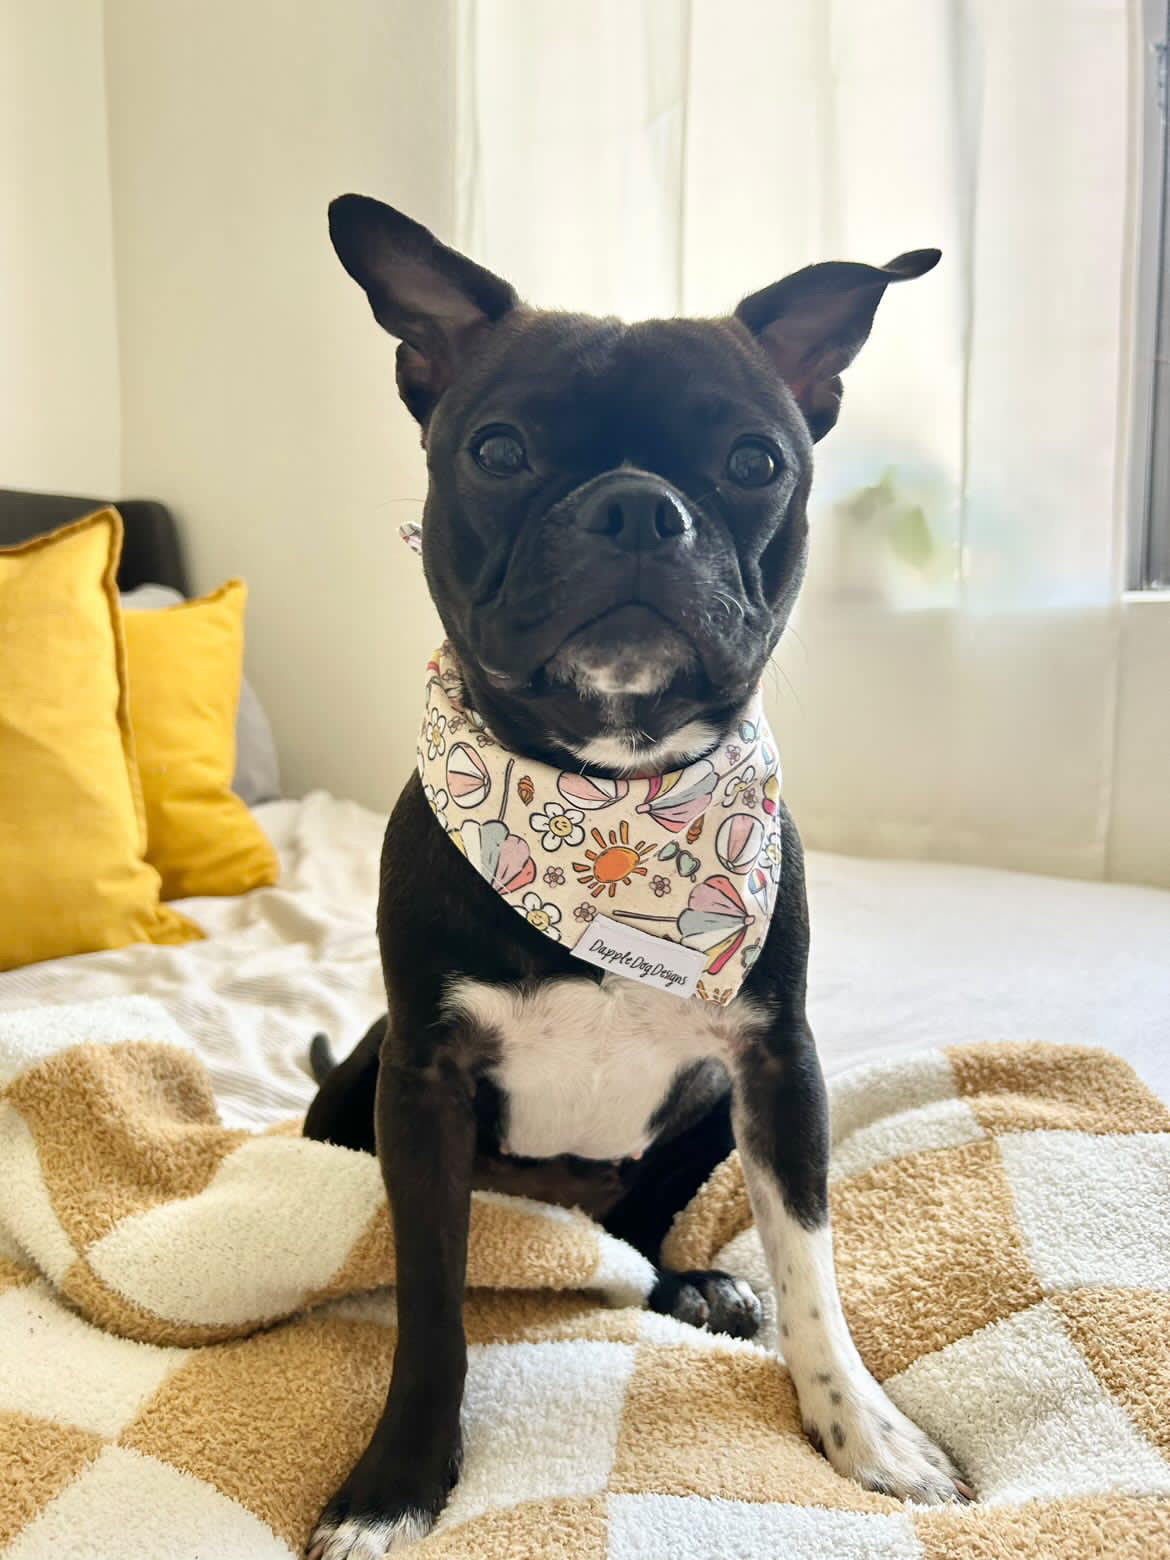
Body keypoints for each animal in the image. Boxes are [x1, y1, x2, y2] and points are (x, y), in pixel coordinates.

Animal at [304, 195, 973, 1560]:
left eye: (756, 463)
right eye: (498, 450)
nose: (633, 508)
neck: (608, 807)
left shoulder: (776, 1063)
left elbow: (810, 1265)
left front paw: (862, 1432)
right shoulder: (422, 1084)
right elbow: (431, 1303)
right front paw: (398, 1480)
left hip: (707, 1111)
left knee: (637, 1232)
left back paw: (691, 1284)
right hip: (359, 1080)